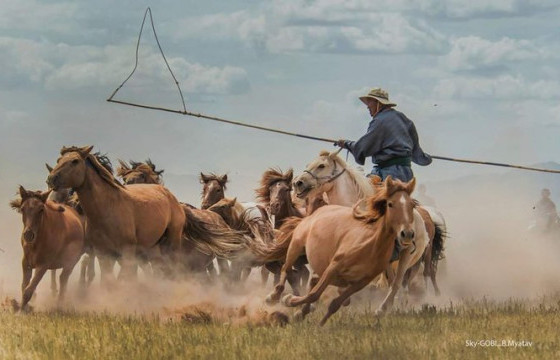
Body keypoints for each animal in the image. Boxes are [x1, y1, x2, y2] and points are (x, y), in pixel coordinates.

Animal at [46, 146, 186, 282]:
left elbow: (124, 279)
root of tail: (168, 194)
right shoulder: (103, 253)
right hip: (152, 247)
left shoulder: (127, 252)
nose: (51, 179)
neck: (108, 208)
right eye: (59, 160)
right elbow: (108, 280)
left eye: (75, 161)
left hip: (172, 241)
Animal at [270, 177, 418, 326]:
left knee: (308, 278)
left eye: (412, 205)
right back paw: (274, 296)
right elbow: (314, 294)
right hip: (296, 245)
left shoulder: (361, 282)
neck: (371, 245)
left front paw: (320, 324)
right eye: (390, 204)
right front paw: (289, 300)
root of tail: (313, 214)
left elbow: (335, 303)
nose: (407, 234)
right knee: (285, 268)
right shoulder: (333, 268)